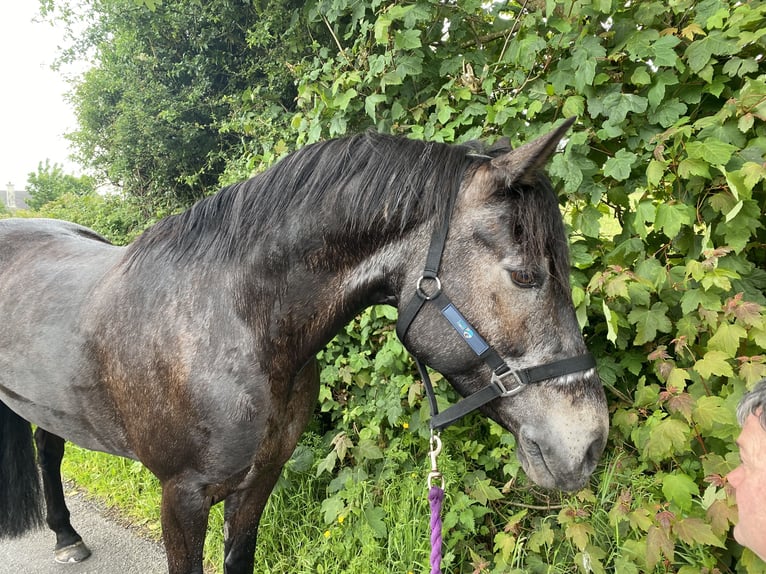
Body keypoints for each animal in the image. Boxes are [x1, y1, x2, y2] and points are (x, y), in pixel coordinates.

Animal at [1, 124, 612, 572]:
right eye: (526, 276)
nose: (589, 446)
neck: (234, 325)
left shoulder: (257, 484)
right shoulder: (182, 498)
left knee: (48, 451)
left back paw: (66, 535)